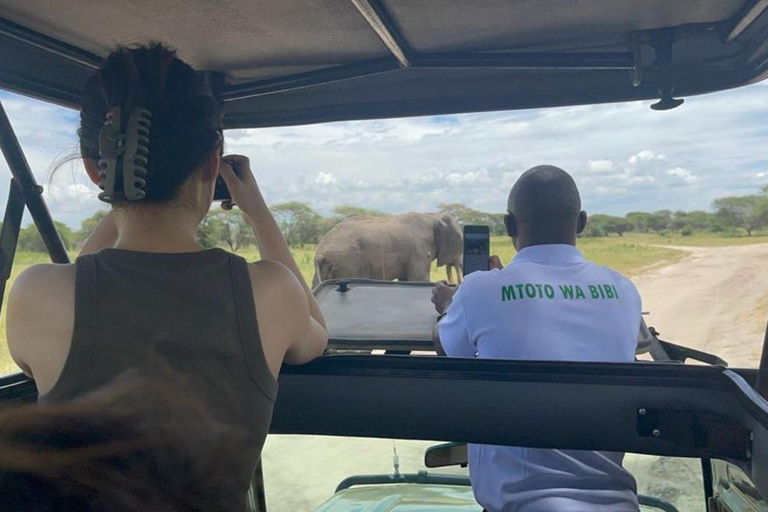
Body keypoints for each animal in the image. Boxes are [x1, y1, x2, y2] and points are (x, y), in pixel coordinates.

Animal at [316, 211, 464, 286]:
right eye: (461, 241)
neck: (433, 216)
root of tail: (319, 255)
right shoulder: (419, 250)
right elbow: (419, 279)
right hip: (348, 262)